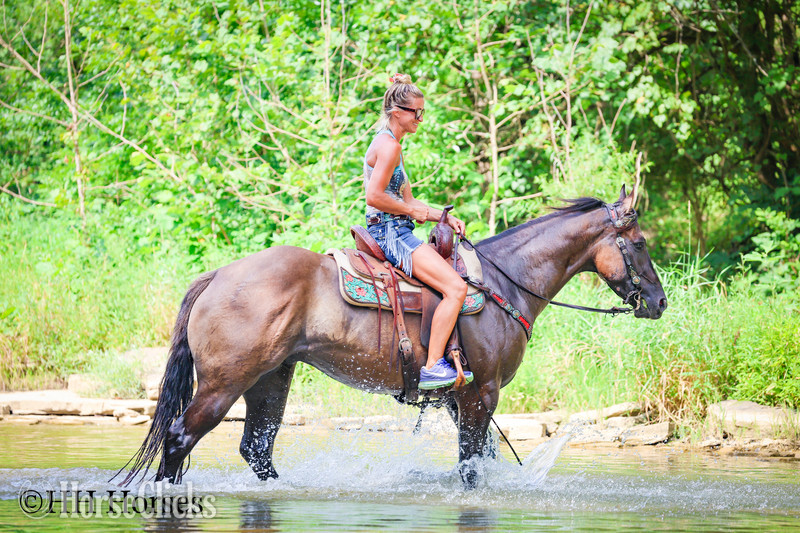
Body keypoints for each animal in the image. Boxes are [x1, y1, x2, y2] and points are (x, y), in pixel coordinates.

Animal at [117, 186, 667, 488]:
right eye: (639, 243)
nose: (660, 303)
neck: (506, 281)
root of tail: (218, 276)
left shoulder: (461, 398)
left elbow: (482, 460)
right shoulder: (481, 394)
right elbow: (471, 468)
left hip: (270, 380)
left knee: (257, 450)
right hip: (223, 384)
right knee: (180, 438)